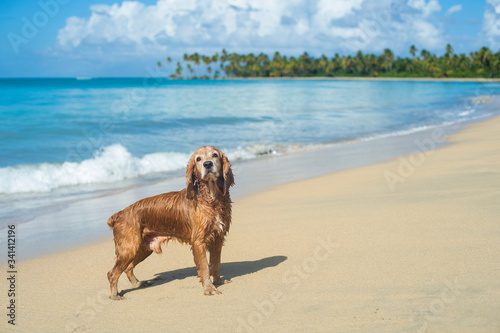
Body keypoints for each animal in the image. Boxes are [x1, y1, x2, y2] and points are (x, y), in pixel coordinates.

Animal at [106, 145, 234, 298]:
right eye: (198, 159)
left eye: (215, 155)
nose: (207, 164)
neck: (211, 198)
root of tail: (119, 214)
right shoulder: (199, 241)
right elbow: (204, 267)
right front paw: (209, 288)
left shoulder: (218, 238)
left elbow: (215, 264)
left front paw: (218, 281)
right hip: (129, 248)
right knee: (112, 273)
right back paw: (115, 295)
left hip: (143, 248)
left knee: (128, 268)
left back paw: (138, 284)